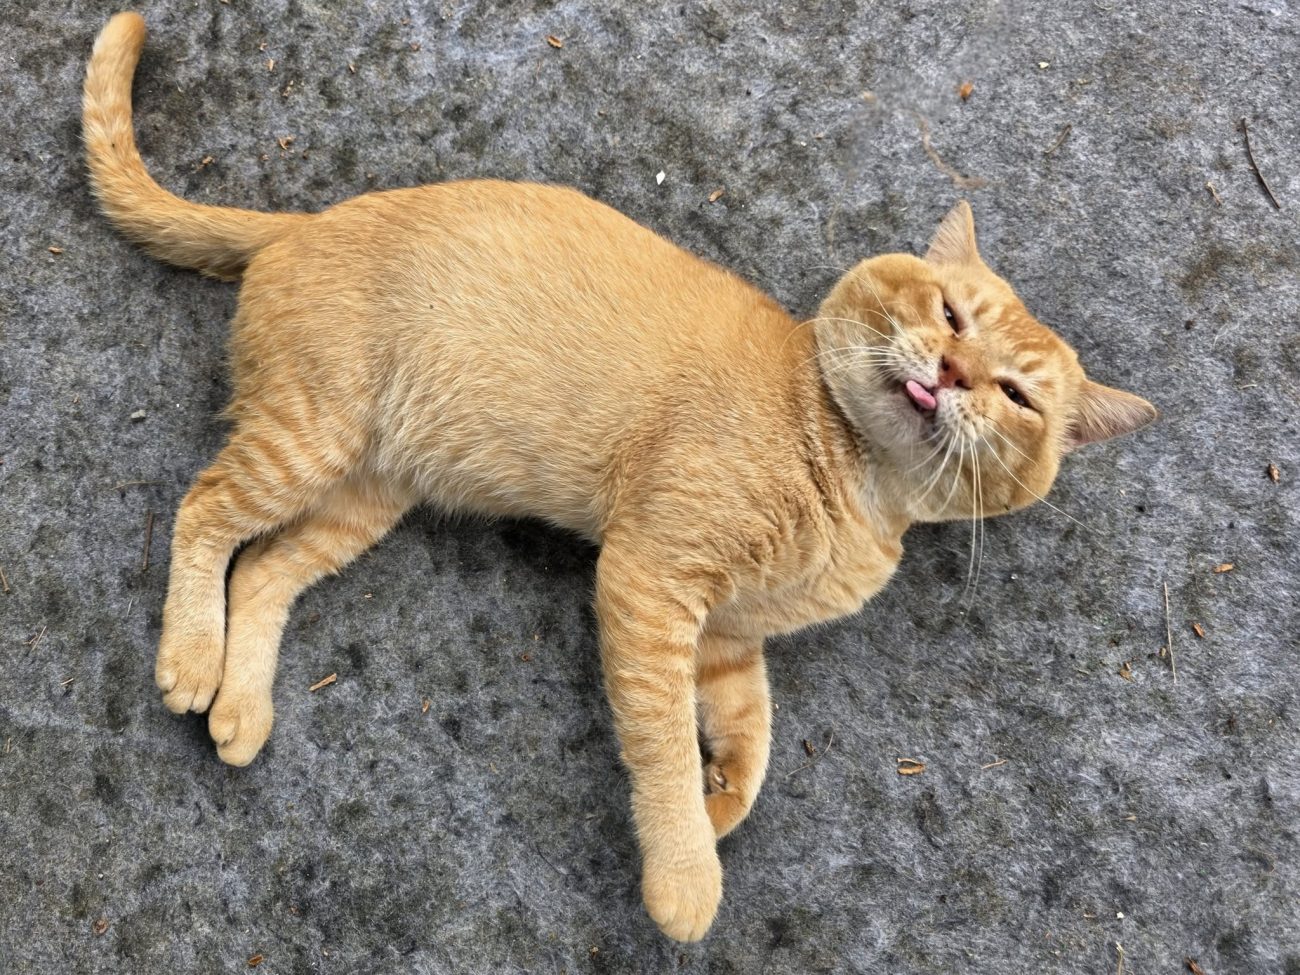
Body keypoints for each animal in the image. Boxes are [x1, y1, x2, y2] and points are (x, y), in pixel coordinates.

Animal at [83, 12, 1155, 942]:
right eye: (950, 311)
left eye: (1017, 395)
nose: (957, 370)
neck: (861, 490)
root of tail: (295, 221)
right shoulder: (650, 581)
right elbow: (663, 748)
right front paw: (687, 869)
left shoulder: (728, 637)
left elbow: (752, 738)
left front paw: (724, 803)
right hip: (307, 439)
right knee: (203, 512)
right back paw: (191, 657)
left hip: (361, 495)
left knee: (263, 570)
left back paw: (241, 705)